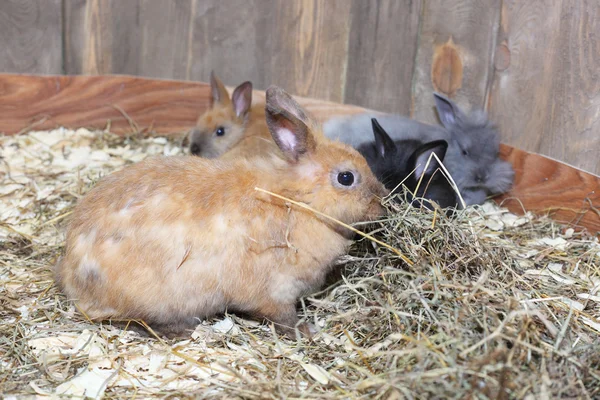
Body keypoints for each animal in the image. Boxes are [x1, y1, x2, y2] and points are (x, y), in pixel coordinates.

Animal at [55, 84, 384, 338]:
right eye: (346, 178)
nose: (382, 201)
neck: (295, 201)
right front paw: (307, 331)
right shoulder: (276, 292)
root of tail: (71, 273)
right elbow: (283, 318)